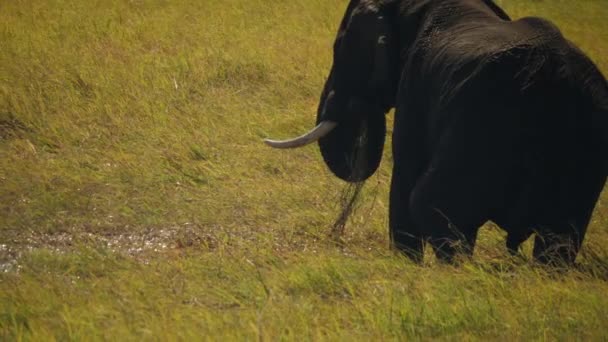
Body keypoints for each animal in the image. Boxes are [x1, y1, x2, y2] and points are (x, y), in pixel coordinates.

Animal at [266, 0, 608, 264]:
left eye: (340, 48)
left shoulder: (416, 85)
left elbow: (404, 178)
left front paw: (406, 266)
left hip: (480, 122)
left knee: (432, 206)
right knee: (559, 238)